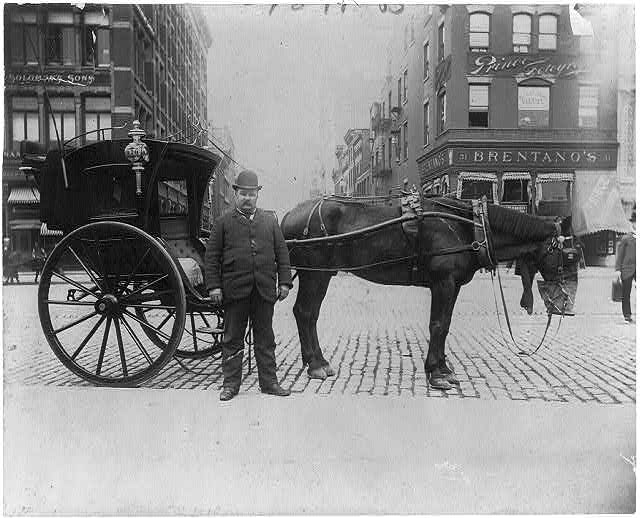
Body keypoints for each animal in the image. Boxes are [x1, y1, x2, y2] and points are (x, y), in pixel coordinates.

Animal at [280, 197, 576, 392]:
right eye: (570, 254)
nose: (567, 306)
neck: (469, 226)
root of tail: (289, 215)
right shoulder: (443, 283)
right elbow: (438, 325)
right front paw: (436, 372)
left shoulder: (453, 285)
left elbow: (444, 326)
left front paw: (443, 368)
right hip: (315, 274)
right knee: (306, 313)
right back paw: (316, 364)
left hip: (318, 274)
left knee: (306, 314)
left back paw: (316, 361)